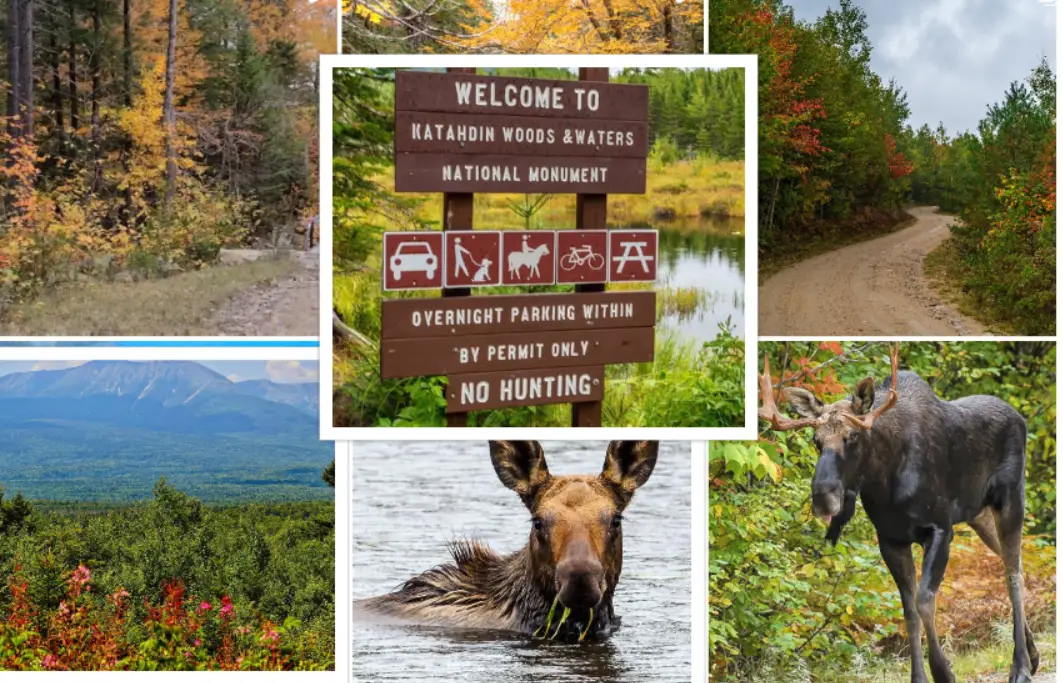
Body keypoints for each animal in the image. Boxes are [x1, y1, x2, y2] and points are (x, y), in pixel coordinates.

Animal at [761, 348, 1041, 683]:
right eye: (817, 441)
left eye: (852, 436)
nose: (823, 498)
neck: (885, 481)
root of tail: (1020, 418)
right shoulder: (891, 539)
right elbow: (908, 609)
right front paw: (919, 677)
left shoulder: (941, 529)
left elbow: (924, 600)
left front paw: (944, 672)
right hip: (979, 515)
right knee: (1012, 564)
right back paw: (1033, 656)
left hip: (1010, 501)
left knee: (1013, 573)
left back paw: (1020, 666)